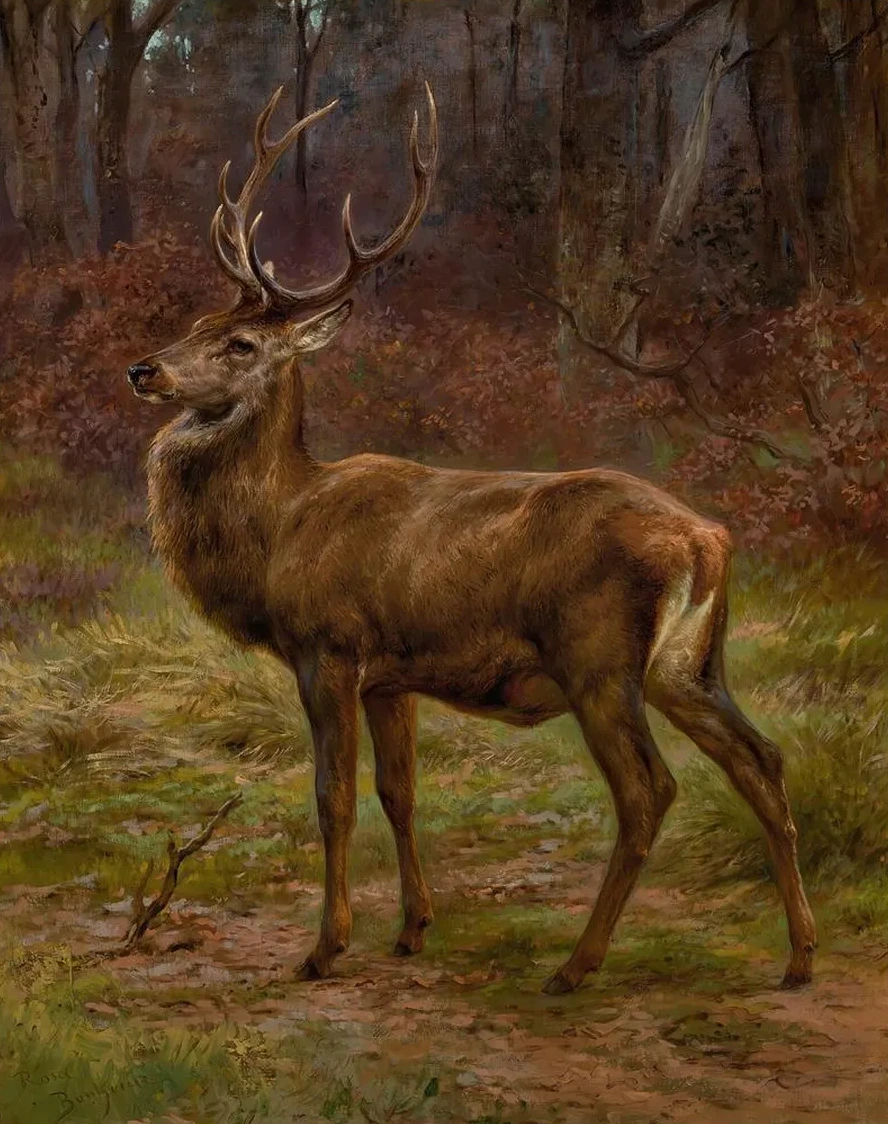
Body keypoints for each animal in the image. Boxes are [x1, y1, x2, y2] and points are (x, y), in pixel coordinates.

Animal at [126, 83, 816, 994]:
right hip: (691, 664)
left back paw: (576, 965)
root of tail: (708, 540)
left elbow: (333, 797)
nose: (145, 369)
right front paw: (413, 929)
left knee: (649, 792)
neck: (280, 531)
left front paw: (324, 948)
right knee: (762, 761)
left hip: (599, 658)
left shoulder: (328, 646)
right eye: (196, 321)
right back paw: (799, 957)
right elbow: (400, 793)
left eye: (238, 342)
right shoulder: (390, 676)